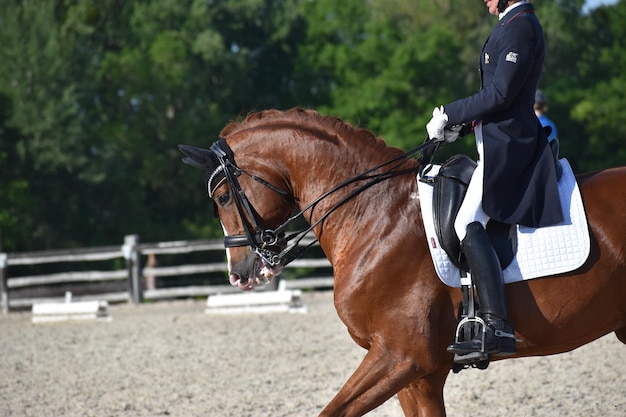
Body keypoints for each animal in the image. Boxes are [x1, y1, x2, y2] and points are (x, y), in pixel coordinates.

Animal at [178, 108, 620, 416]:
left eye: (222, 198)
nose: (239, 274)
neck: (374, 215)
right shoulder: (420, 375)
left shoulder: (400, 356)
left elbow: (333, 411)